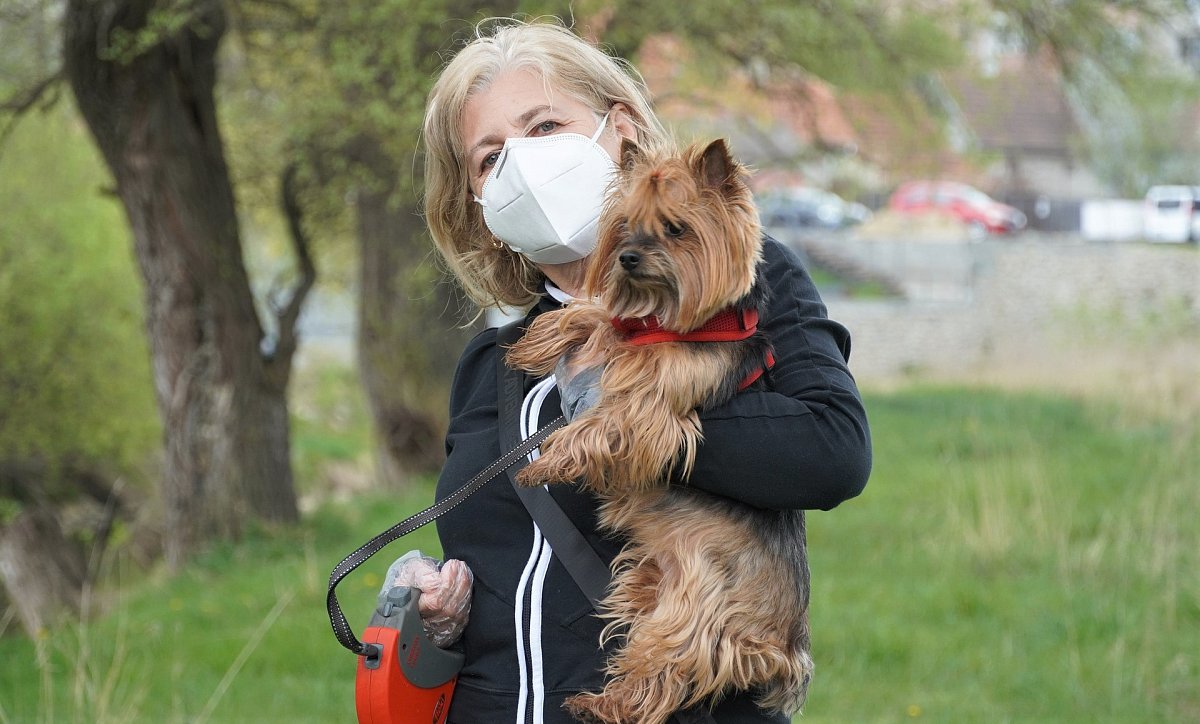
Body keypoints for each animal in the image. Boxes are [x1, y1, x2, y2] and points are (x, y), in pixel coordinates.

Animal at [501, 137, 811, 724]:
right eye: (624, 226)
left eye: (675, 228)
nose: (627, 257)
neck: (664, 320)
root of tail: (786, 647)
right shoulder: (620, 333)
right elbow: (596, 315)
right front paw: (539, 339)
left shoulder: (656, 411)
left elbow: (604, 422)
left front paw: (546, 460)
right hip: (645, 580)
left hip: (697, 609)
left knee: (667, 666)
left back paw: (607, 705)